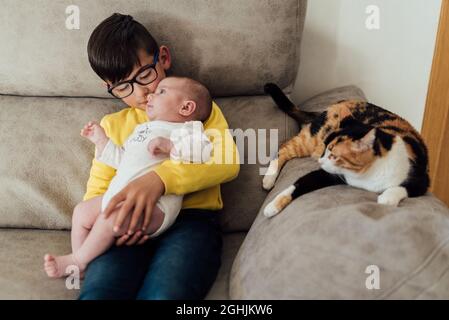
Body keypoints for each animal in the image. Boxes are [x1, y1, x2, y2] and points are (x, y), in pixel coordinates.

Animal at [260, 83, 428, 218]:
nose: (320, 160)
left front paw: (387, 199)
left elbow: (403, 188)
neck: (366, 176)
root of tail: (329, 107)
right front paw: (272, 206)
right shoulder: (329, 173)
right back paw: (269, 179)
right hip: (310, 140)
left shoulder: (422, 179)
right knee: (284, 148)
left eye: (333, 155)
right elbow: (298, 184)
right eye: (326, 149)